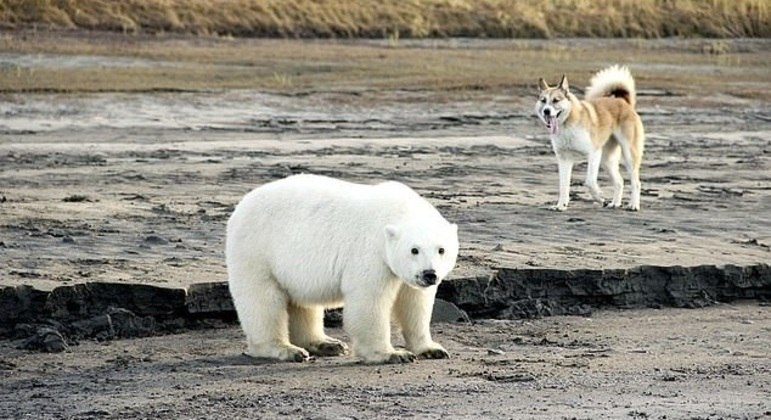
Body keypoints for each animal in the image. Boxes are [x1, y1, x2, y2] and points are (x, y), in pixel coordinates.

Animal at [228, 174, 458, 364]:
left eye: (441, 249)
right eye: (414, 250)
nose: (430, 274)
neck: (396, 212)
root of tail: (242, 205)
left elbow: (415, 303)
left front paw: (432, 349)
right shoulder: (371, 253)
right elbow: (369, 302)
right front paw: (393, 354)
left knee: (302, 303)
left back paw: (327, 344)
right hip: (257, 251)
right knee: (262, 301)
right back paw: (286, 349)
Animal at [536, 65, 644, 212]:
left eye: (556, 100)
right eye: (543, 100)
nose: (546, 111)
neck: (567, 123)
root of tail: (623, 101)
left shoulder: (593, 153)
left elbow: (589, 182)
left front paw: (599, 198)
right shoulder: (564, 159)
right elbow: (563, 186)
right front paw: (561, 206)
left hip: (628, 155)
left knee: (636, 182)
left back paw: (633, 205)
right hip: (606, 160)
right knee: (619, 182)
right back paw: (615, 203)